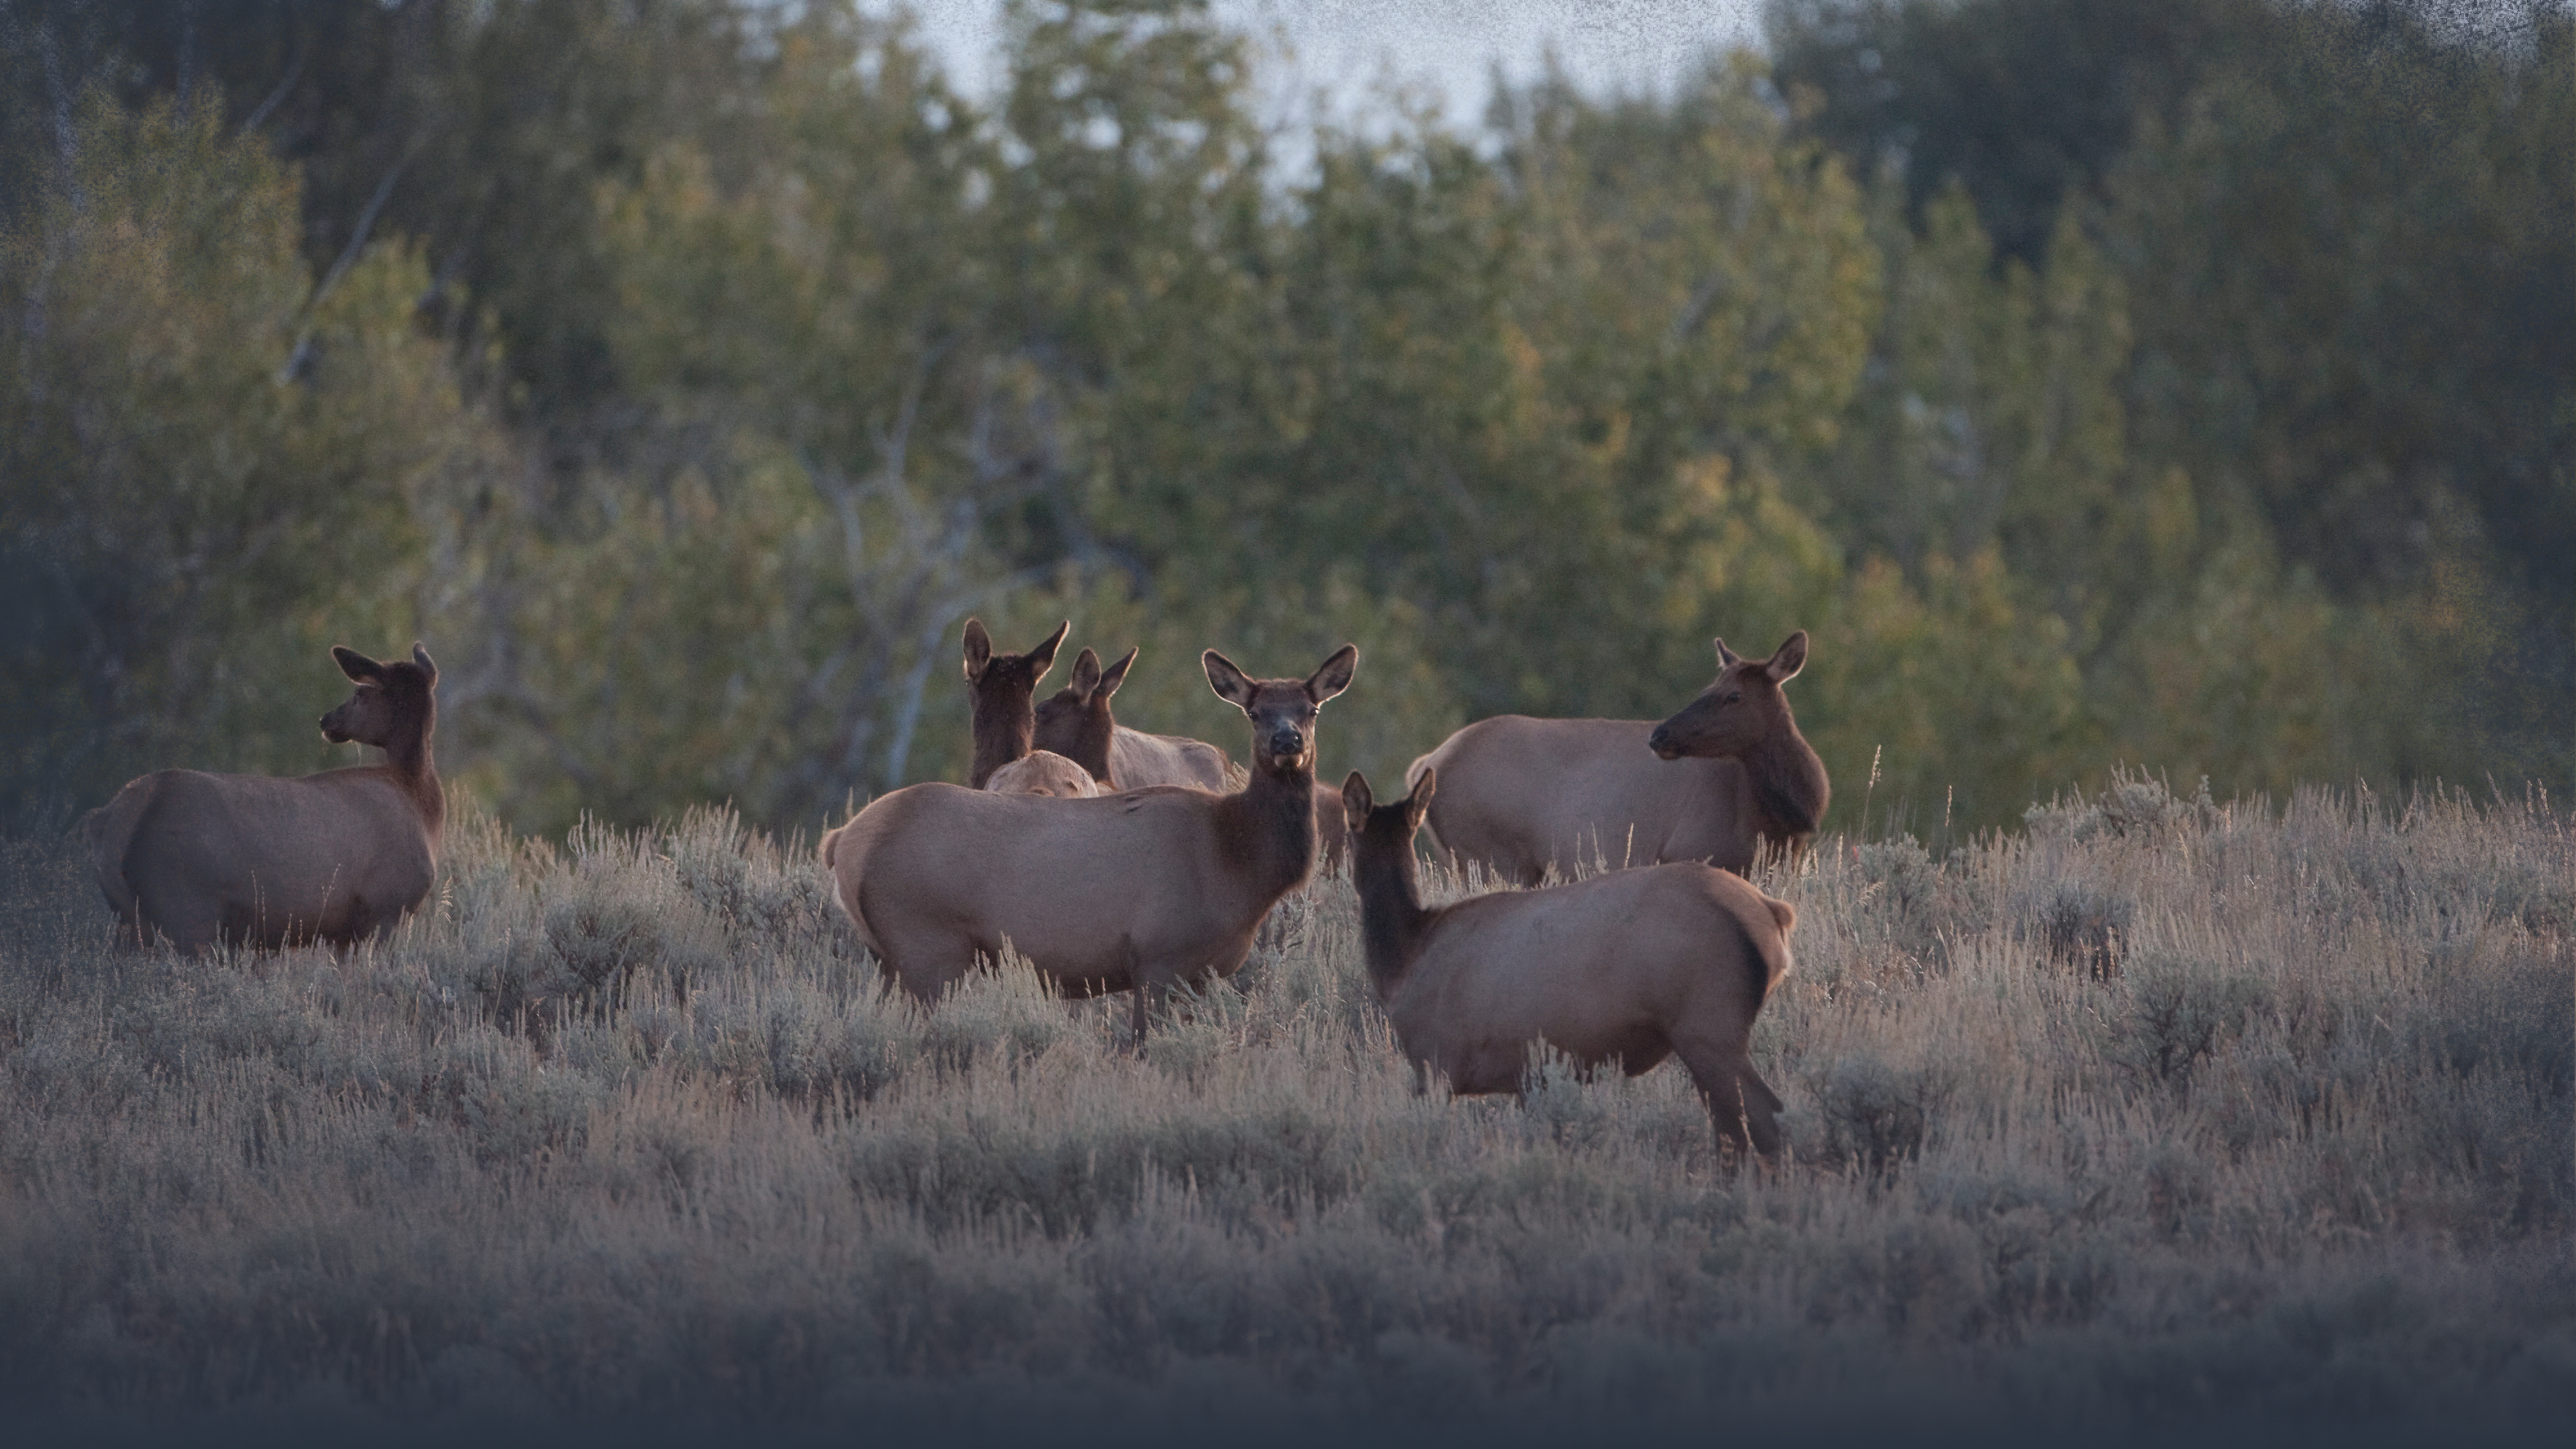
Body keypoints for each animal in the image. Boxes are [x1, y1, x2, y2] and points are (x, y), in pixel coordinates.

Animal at [82, 644, 446, 955]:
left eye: (359, 692)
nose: (327, 719)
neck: (418, 798)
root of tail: (113, 818)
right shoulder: (387, 907)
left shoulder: (350, 929)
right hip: (185, 907)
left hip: (130, 919)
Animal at [1342, 768, 1795, 1160]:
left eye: (1346, 838)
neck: (1405, 958)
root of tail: (1773, 916)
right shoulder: (1527, 1076)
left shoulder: (1435, 1061)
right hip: (1701, 1036)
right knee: (1734, 1130)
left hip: (1709, 1023)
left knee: (1765, 1121)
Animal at [1404, 631, 1827, 885]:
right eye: (1710, 688)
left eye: (1733, 695)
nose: (1660, 735)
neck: (1782, 820)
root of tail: (1425, 763)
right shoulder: (1691, 850)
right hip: (1493, 856)